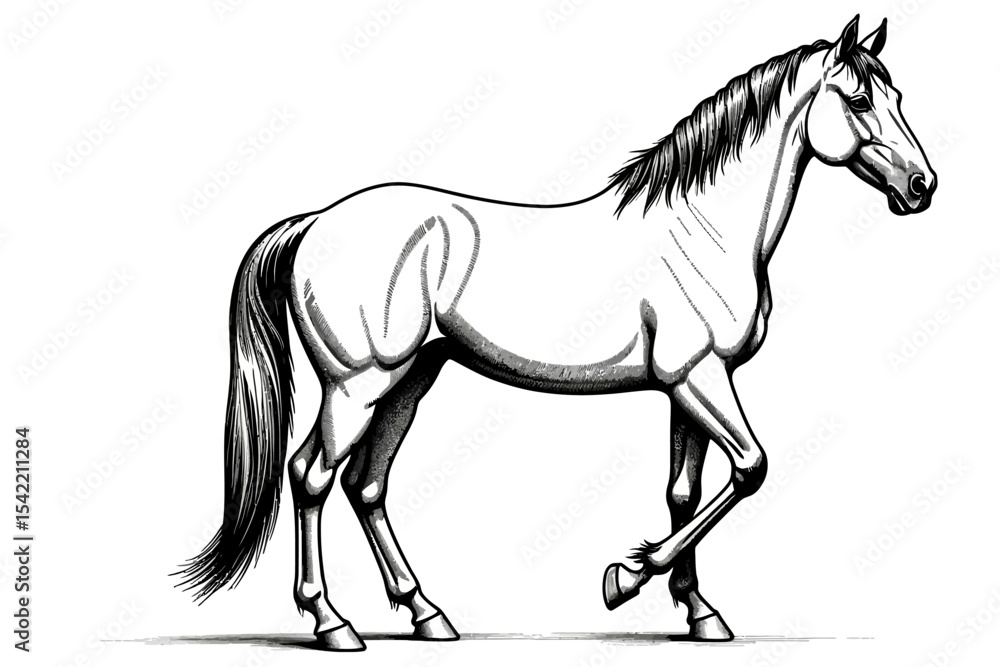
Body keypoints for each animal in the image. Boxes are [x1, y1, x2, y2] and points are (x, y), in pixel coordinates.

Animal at [176, 16, 936, 650]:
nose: (921, 186)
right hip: (356, 384)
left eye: (896, 96)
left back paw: (427, 614)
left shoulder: (684, 385)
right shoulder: (698, 376)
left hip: (411, 379)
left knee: (367, 487)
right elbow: (752, 467)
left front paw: (699, 614)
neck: (704, 227)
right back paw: (332, 624)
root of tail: (316, 221)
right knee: (311, 477)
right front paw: (624, 578)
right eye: (860, 101)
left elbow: (684, 493)